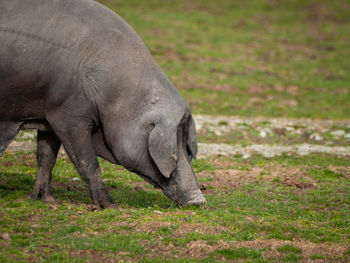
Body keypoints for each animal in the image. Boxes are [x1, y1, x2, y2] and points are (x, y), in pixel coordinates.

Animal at [0, 0, 206, 208]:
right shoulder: (68, 115)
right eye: (174, 149)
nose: (199, 200)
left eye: (188, 150)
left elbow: (46, 157)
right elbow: (88, 162)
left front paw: (47, 200)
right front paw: (110, 205)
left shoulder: (49, 114)